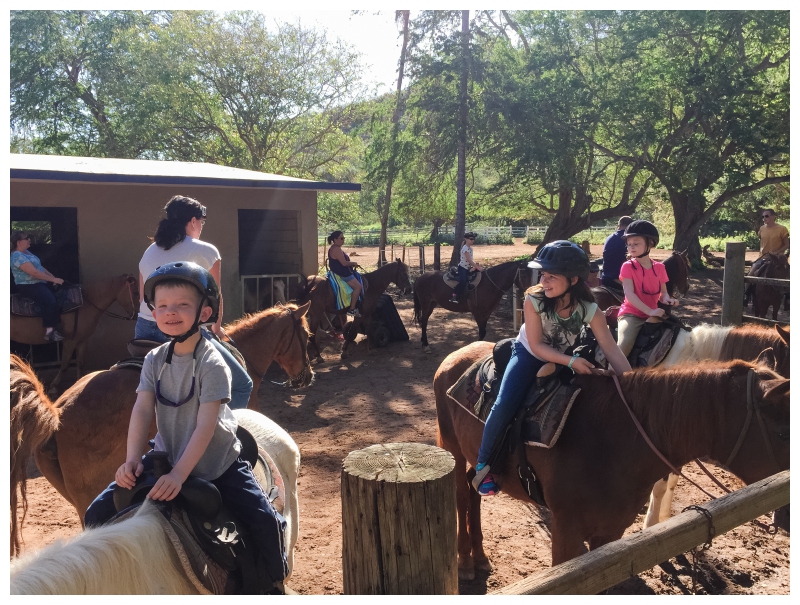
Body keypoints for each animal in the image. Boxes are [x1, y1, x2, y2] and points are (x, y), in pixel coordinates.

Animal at [10, 274, 138, 392]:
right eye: (135, 292)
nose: (136, 316)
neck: (86, 304)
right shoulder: (70, 341)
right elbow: (64, 365)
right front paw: (54, 386)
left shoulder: (82, 340)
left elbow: (80, 364)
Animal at [432, 342, 788, 580]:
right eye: (783, 432)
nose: (784, 510)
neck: (613, 440)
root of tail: (455, 356)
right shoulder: (566, 533)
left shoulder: (610, 534)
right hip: (452, 448)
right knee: (461, 495)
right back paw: (465, 563)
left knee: (474, 491)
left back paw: (480, 557)